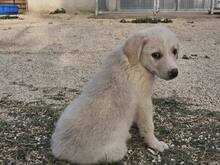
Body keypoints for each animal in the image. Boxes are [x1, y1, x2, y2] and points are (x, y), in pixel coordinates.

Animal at [51, 27, 179, 164]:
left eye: (174, 51)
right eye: (156, 55)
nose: (174, 72)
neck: (133, 60)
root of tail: (61, 151)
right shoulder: (144, 101)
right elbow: (148, 126)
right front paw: (155, 144)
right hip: (117, 151)